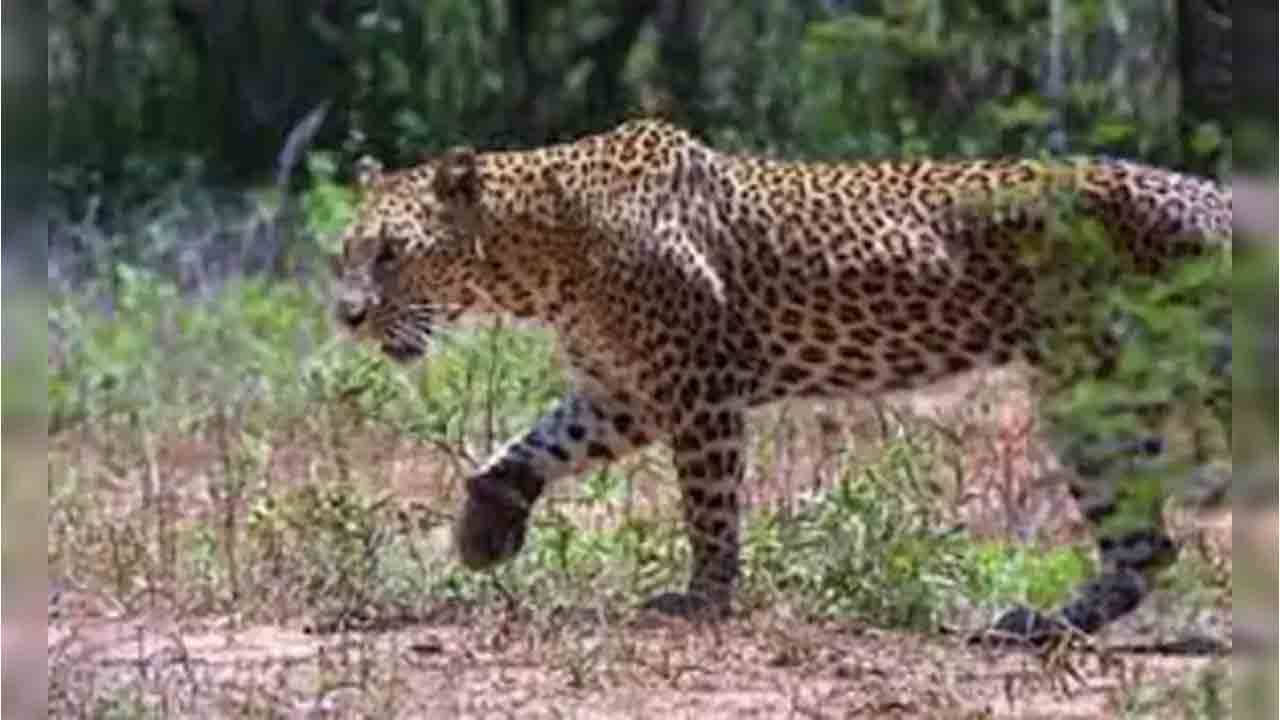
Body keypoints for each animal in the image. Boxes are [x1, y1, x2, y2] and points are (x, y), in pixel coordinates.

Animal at [331, 118, 1231, 642]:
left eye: (392, 253)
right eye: (344, 252)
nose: (345, 316)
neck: (543, 248)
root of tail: (1218, 199)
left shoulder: (697, 388)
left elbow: (709, 507)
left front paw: (704, 598)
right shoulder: (624, 391)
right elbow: (534, 444)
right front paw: (486, 528)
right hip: (1087, 397)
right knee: (1145, 546)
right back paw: (1037, 626)